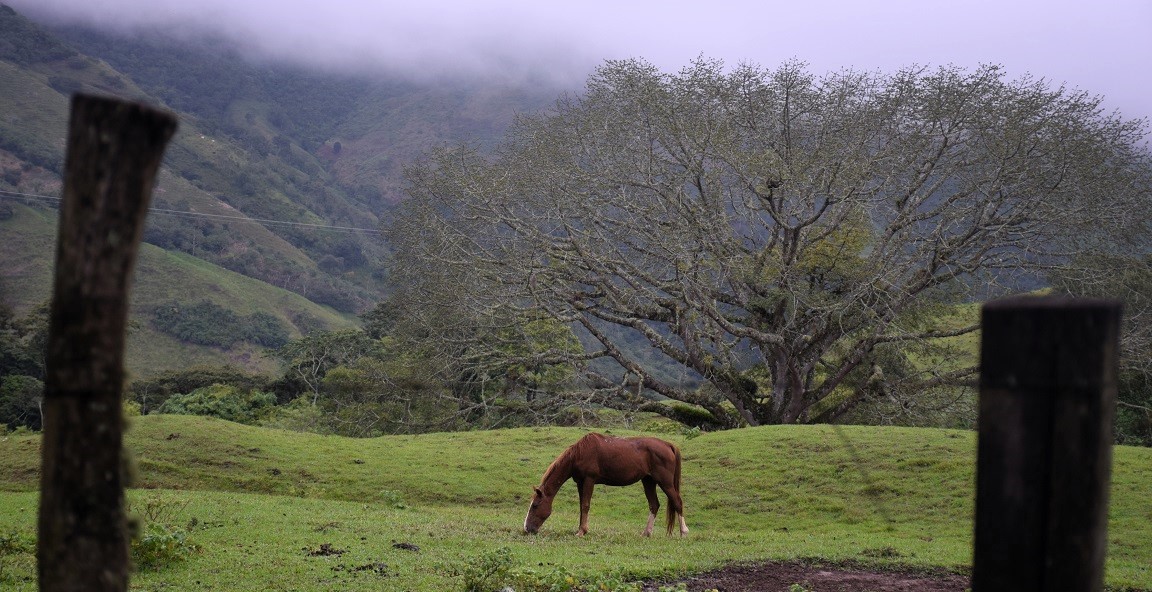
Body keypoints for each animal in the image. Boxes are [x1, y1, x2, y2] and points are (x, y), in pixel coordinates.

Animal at [525, 430, 686, 536]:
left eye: (535, 505)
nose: (526, 529)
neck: (580, 453)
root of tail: (668, 445)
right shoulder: (580, 483)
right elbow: (581, 506)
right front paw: (580, 529)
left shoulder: (589, 480)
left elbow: (585, 505)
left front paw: (582, 531)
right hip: (648, 481)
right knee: (654, 505)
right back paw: (646, 533)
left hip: (665, 483)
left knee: (677, 502)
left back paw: (683, 532)